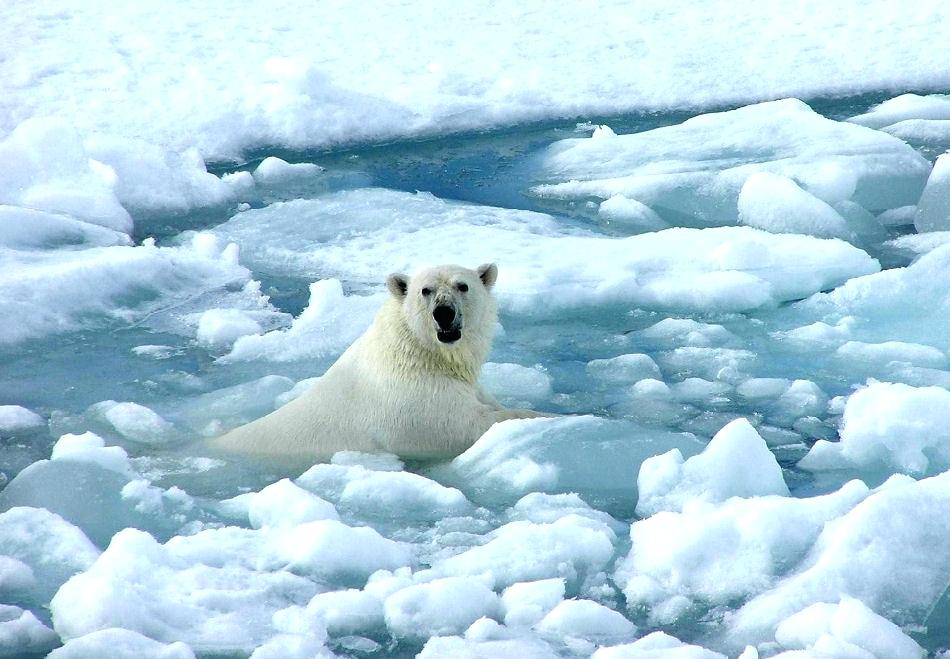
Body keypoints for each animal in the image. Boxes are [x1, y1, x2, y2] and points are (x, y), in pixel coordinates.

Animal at [212, 262, 548, 464]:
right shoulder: (414, 403)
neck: (420, 355)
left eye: (462, 286)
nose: (443, 313)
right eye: (425, 290)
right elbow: (467, 425)